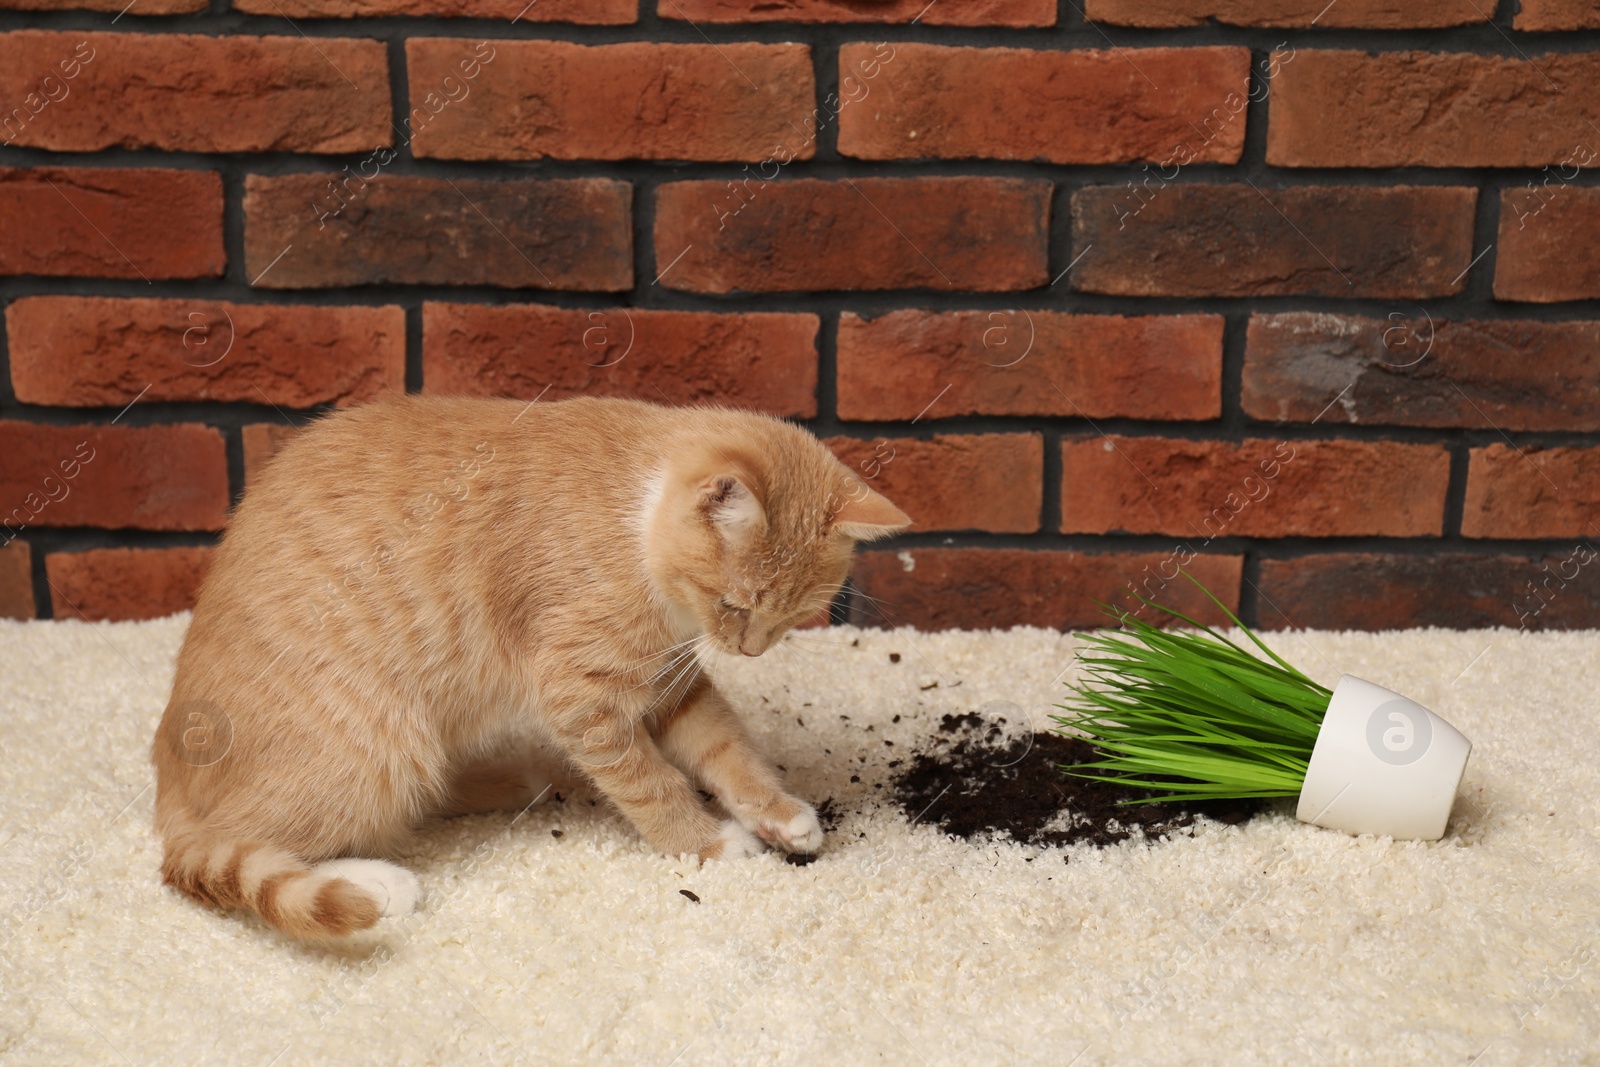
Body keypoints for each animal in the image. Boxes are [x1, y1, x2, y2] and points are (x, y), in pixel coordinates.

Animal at [156, 396, 921, 940]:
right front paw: (705, 841)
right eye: (734, 603)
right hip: (379, 748)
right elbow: (652, 782)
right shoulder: (582, 693)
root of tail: (170, 766)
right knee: (235, 842)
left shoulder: (670, 679)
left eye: (794, 616)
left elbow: (726, 749)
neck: (635, 513)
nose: (750, 649)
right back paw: (376, 882)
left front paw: (777, 813)